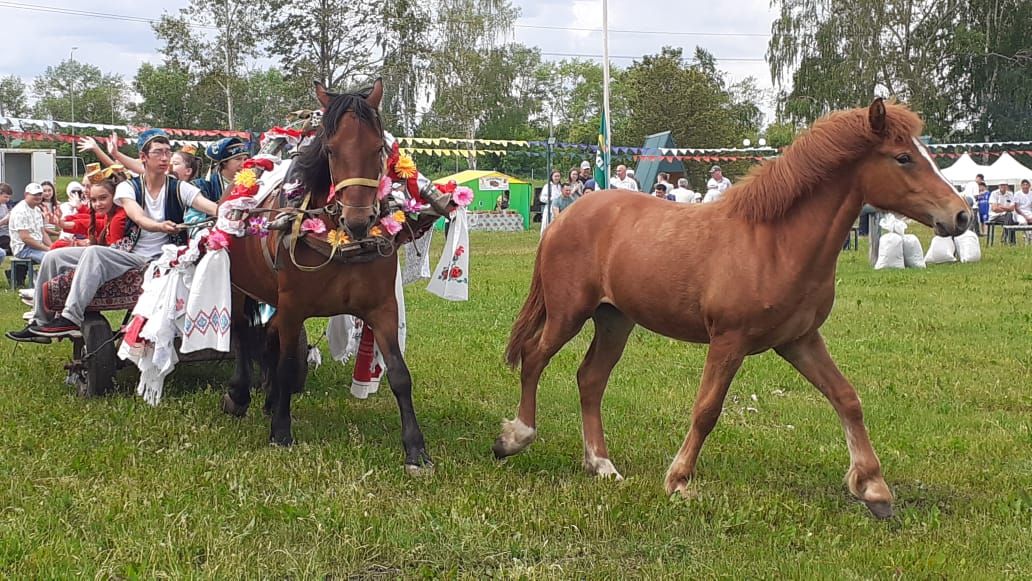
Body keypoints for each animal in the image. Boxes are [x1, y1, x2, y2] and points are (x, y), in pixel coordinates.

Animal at [223, 79, 433, 474]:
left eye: (378, 147)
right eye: (332, 150)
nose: (359, 219)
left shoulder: (382, 307)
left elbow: (399, 374)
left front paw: (415, 449)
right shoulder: (292, 305)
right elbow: (288, 366)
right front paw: (281, 431)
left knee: (268, 340)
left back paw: (269, 399)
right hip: (237, 286)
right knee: (242, 333)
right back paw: (240, 394)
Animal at [495, 100, 970, 518]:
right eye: (903, 157)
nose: (962, 215)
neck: (775, 243)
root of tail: (565, 216)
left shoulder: (799, 340)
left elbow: (846, 398)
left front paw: (874, 489)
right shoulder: (729, 341)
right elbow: (707, 409)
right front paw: (679, 481)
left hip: (615, 321)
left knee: (590, 379)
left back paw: (601, 464)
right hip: (568, 313)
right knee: (535, 357)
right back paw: (515, 438)